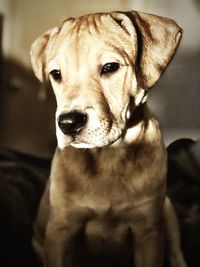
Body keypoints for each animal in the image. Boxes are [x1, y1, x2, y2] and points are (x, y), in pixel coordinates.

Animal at [30, 10, 188, 267]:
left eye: (110, 67)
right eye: (56, 74)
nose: (68, 123)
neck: (109, 159)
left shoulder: (149, 232)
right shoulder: (60, 230)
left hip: (167, 212)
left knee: (175, 254)